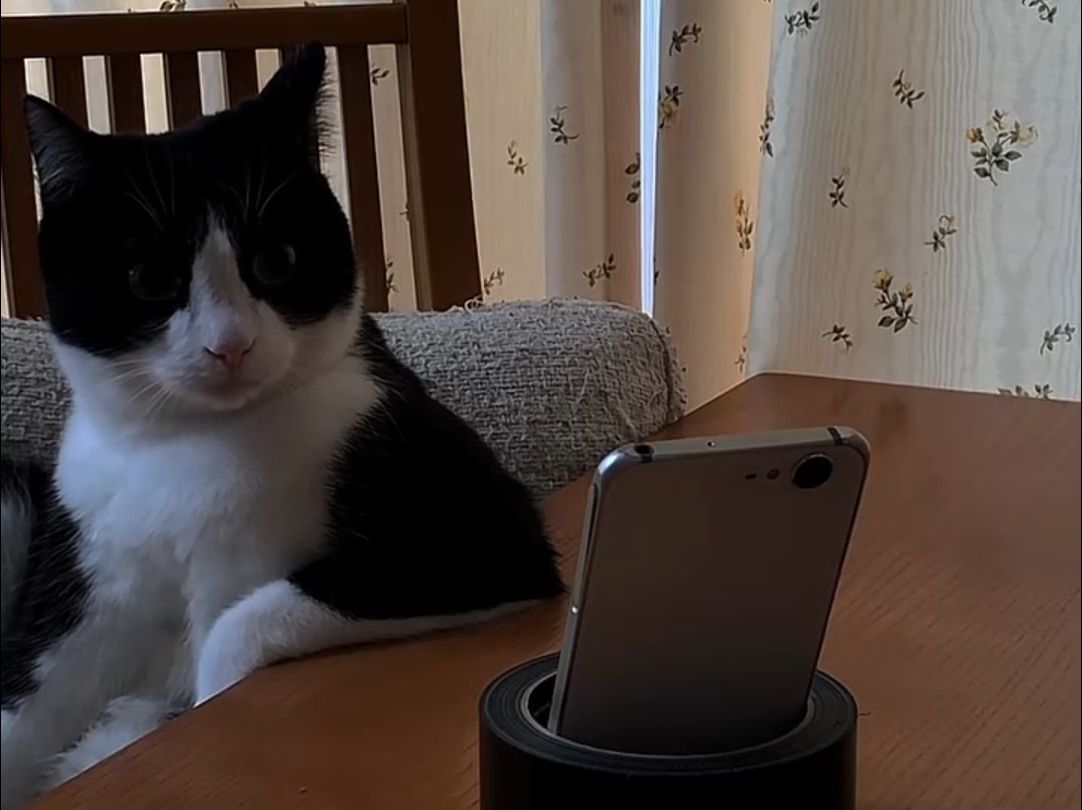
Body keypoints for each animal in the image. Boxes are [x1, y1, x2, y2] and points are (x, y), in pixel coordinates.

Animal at [0, 42, 562, 809]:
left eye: (276, 260)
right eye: (149, 279)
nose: (229, 344)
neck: (188, 443)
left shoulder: (489, 540)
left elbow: (236, 630)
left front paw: (188, 707)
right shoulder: (79, 572)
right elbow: (25, 700)